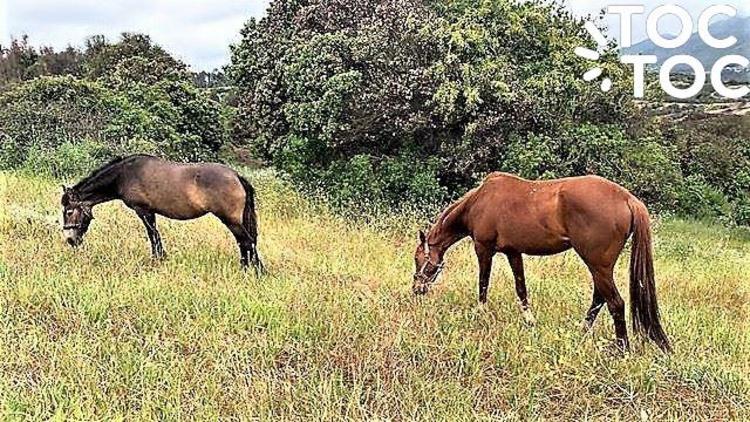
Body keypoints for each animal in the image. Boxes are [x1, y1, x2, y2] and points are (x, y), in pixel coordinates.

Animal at [63, 153, 266, 272]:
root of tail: (237, 176)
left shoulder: (143, 211)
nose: (70, 240)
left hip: (231, 220)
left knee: (246, 242)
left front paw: (157, 259)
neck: (125, 174)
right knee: (245, 243)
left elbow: (153, 235)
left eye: (69, 211)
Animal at [414, 172, 672, 352]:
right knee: (600, 299)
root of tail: (627, 198)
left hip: (597, 265)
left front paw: (480, 314)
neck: (479, 201)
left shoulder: (483, 249)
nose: (417, 289)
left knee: (615, 303)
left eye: (418, 259)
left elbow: (483, 284)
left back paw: (621, 348)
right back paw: (581, 332)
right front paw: (529, 320)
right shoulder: (513, 252)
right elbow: (521, 287)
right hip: (600, 267)